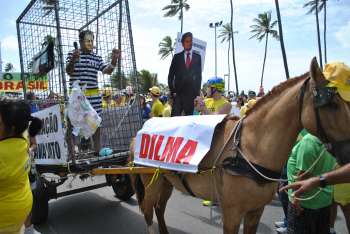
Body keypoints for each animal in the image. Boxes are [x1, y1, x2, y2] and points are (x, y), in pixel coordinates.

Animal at [130, 57, 350, 233]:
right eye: (332, 104)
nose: (347, 153)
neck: (248, 148)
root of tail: (138, 134)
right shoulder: (232, 213)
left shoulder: (255, 211)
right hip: (152, 183)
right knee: (148, 211)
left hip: (166, 181)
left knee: (159, 209)